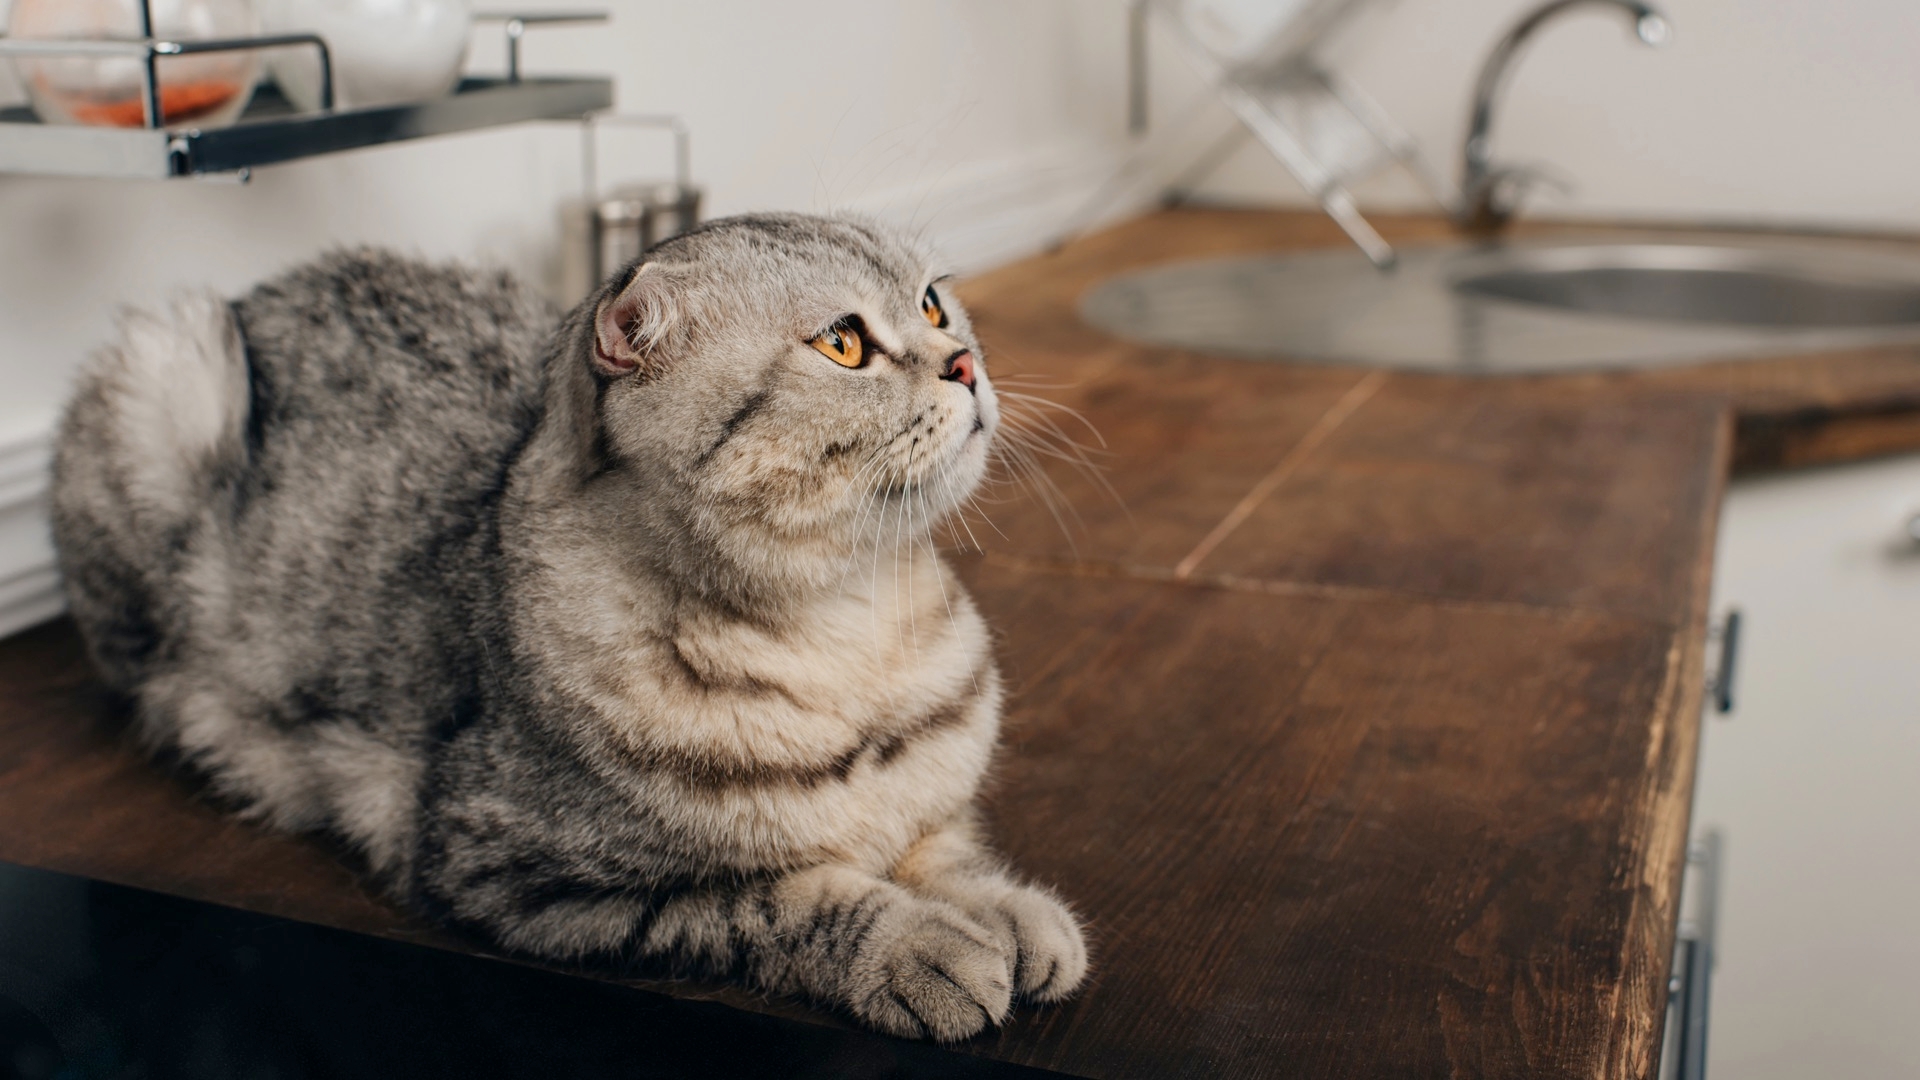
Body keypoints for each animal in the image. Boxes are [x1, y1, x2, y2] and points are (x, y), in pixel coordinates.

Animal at [52, 212, 1090, 1037]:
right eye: (843, 343)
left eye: (932, 305)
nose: (965, 362)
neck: (853, 629)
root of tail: (263, 286)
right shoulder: (521, 871)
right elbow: (784, 898)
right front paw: (917, 945)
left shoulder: (931, 799)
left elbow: (943, 843)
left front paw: (1007, 910)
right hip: (166, 380)